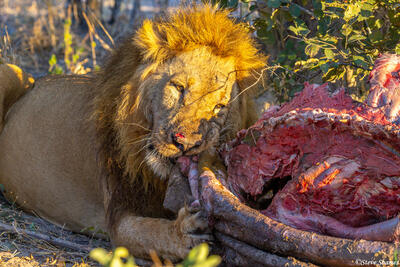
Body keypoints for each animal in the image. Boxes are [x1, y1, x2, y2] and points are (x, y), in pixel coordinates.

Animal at [0, 5, 264, 262]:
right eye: (179, 88)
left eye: (219, 107)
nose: (187, 144)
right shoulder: (118, 211)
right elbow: (152, 232)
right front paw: (186, 232)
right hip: (9, 71)